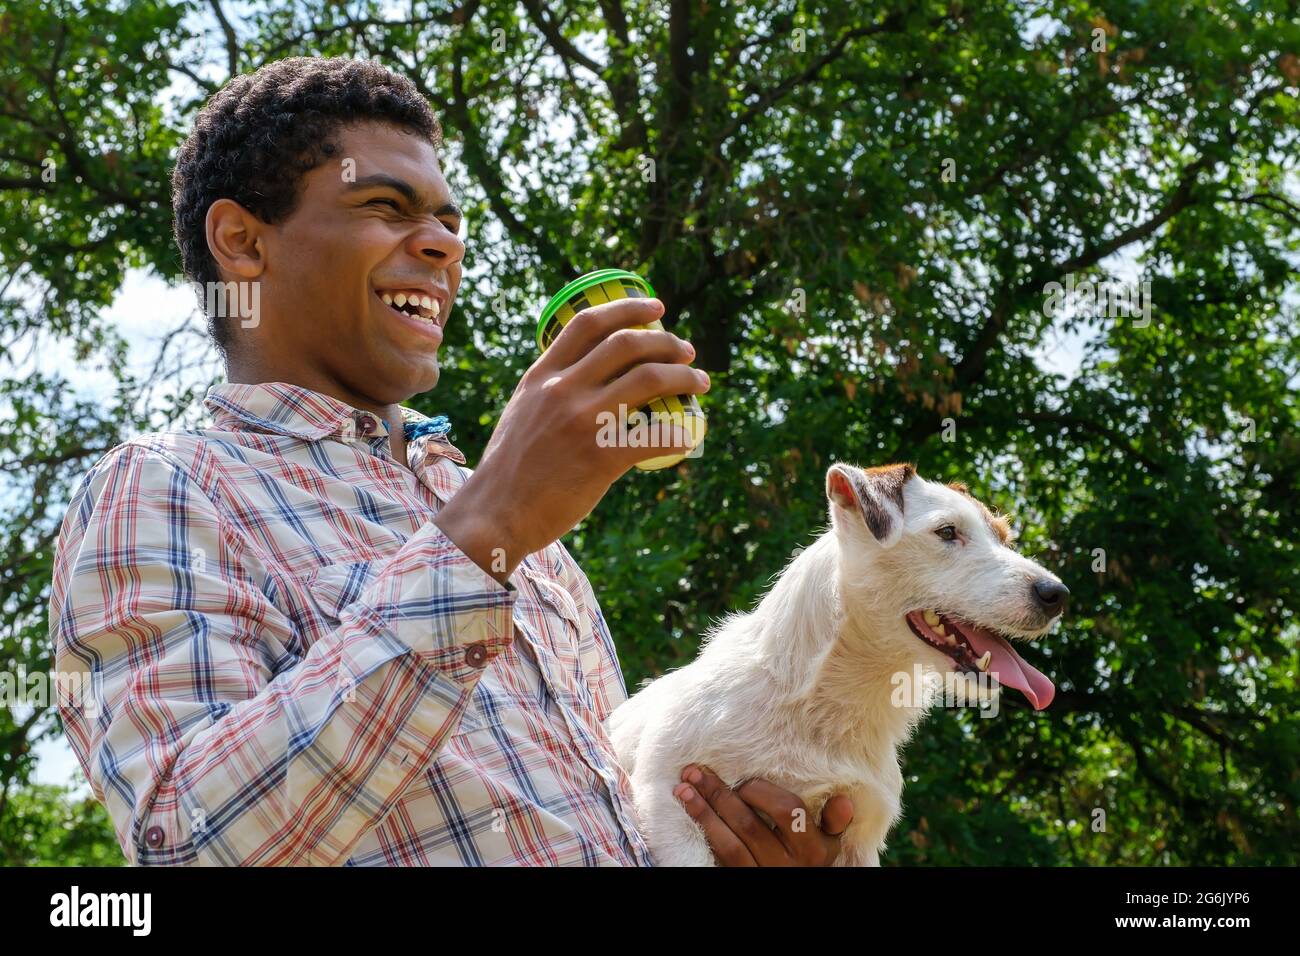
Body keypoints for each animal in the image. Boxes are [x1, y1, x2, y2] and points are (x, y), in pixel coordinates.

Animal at [608, 463, 1066, 868]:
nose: (1057, 594)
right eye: (947, 532)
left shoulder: (861, 831)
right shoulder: (666, 800)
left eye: (1003, 537)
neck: (825, 700)